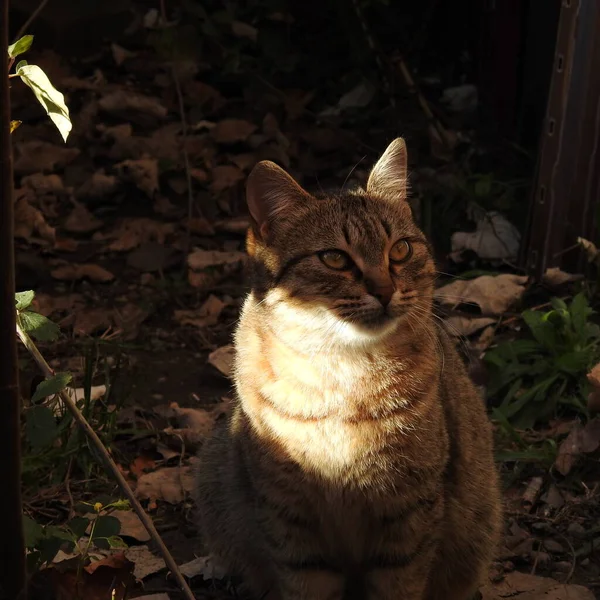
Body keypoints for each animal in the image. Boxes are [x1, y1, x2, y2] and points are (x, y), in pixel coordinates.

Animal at [196, 138, 502, 596]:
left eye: (400, 250)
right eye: (334, 259)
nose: (385, 290)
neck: (342, 369)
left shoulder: (410, 507)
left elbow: (399, 584)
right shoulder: (286, 512)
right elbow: (305, 583)